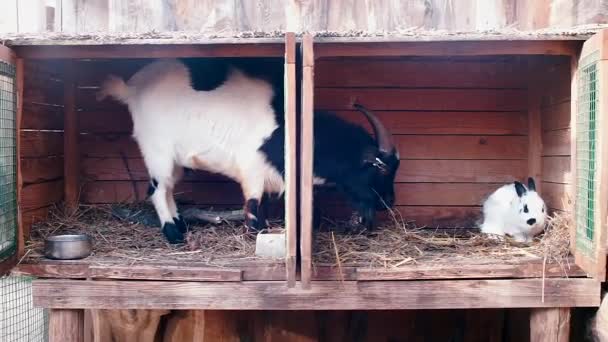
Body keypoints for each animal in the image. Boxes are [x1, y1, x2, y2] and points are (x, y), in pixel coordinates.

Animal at [97, 56, 402, 243]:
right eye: (378, 167)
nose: (389, 201)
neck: (283, 125)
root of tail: (131, 89)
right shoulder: (252, 170)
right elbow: (254, 207)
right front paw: (258, 234)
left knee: (168, 188)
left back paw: (181, 224)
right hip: (158, 151)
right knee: (158, 190)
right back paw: (174, 236)